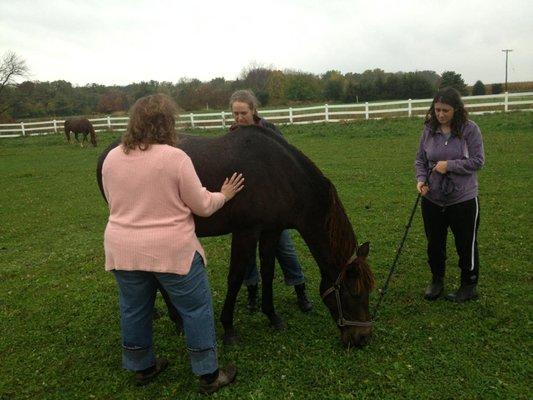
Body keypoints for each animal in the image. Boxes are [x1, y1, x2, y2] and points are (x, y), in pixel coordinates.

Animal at [95, 126, 374, 348]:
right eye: (354, 293)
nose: (363, 337)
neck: (278, 173)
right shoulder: (246, 232)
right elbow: (236, 278)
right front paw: (228, 328)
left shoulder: (271, 231)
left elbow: (268, 272)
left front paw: (272, 316)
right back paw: (177, 321)